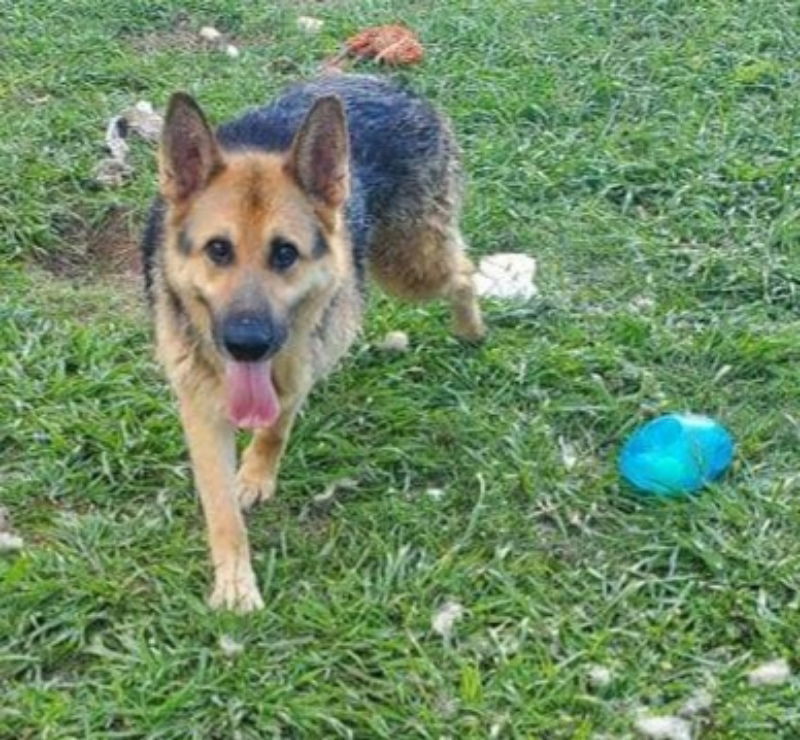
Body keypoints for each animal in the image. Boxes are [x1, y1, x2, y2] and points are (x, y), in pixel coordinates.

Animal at [141, 75, 484, 608]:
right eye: (218, 250)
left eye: (285, 254)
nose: (246, 344)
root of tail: (390, 83)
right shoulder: (202, 407)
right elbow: (222, 509)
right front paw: (235, 583)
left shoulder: (300, 363)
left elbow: (276, 427)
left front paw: (257, 474)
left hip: (410, 268)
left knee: (464, 272)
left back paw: (471, 329)